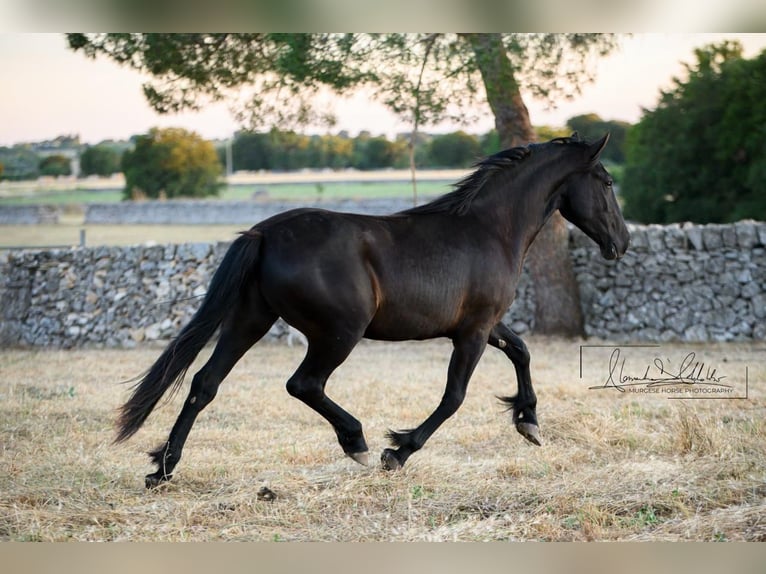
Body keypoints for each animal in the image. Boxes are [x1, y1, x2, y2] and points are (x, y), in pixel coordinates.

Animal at [115, 133, 629, 488]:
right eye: (606, 182)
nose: (621, 243)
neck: (489, 229)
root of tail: (263, 234)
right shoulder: (473, 331)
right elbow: (454, 396)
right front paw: (397, 451)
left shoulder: (483, 324)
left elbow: (521, 351)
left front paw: (529, 423)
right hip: (339, 332)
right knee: (303, 384)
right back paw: (358, 443)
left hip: (250, 319)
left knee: (205, 383)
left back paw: (162, 469)